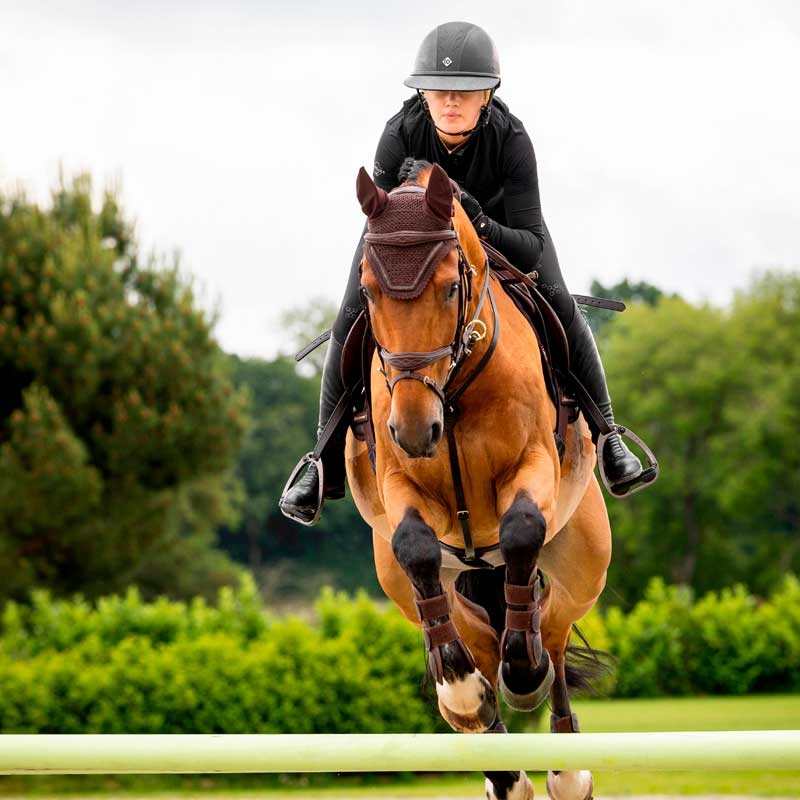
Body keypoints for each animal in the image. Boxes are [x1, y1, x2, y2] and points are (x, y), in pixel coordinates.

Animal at [346, 161, 612, 800]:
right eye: (368, 292)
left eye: (449, 287)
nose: (414, 429)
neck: (455, 387)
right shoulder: (401, 488)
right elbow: (416, 546)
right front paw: (462, 694)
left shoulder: (532, 466)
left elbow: (520, 529)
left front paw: (524, 670)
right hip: (407, 583)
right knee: (467, 636)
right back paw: (496, 757)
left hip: (582, 563)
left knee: (552, 633)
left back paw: (564, 764)